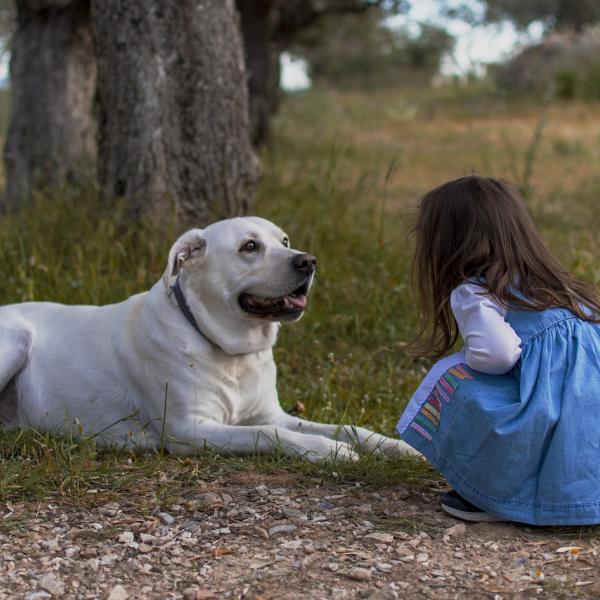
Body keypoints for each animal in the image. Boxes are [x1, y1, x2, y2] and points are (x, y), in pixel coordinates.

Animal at [0, 218, 418, 462]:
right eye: (250, 246)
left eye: (284, 240)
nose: (308, 261)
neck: (233, 352)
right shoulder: (190, 429)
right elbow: (268, 435)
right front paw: (328, 450)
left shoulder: (271, 413)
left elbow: (348, 428)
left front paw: (398, 447)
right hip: (15, 340)